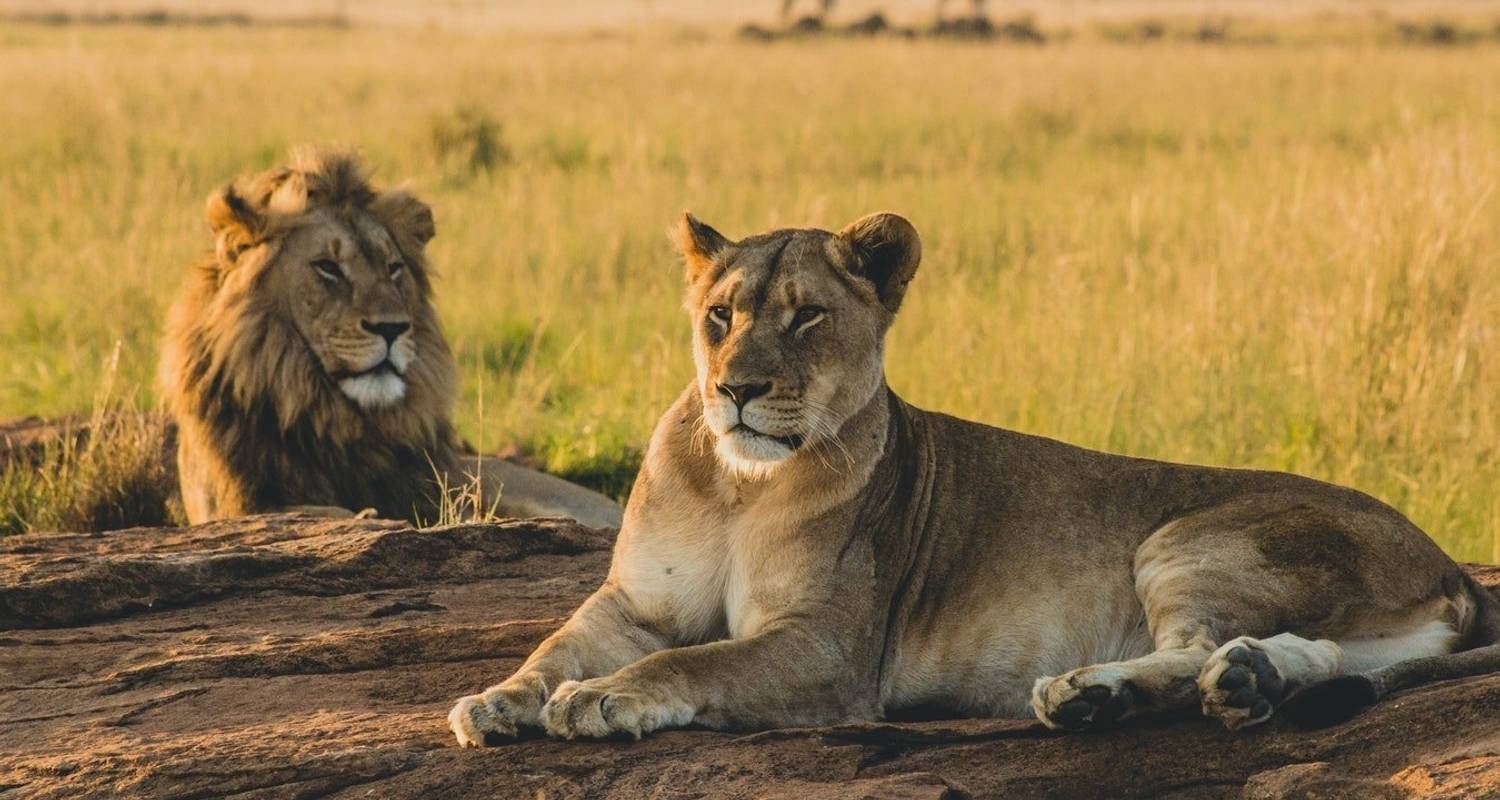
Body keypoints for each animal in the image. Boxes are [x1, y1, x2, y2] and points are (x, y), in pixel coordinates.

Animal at [447, 210, 1500, 741]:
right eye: (720, 314)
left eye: (807, 317)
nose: (736, 389)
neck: (739, 486)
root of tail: (1450, 564)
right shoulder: (634, 601)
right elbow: (557, 644)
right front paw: (498, 701)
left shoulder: (829, 650)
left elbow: (692, 662)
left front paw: (600, 700)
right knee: (1308, 654)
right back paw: (1236, 682)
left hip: (1186, 538)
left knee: (1197, 646)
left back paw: (1094, 693)